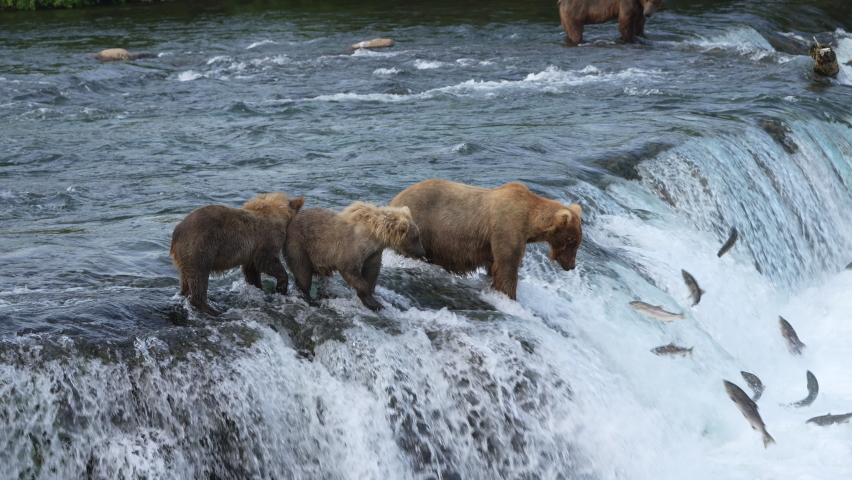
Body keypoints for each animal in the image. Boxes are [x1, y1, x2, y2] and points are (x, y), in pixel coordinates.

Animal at [170, 192, 305, 315]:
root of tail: (176, 233)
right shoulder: (267, 238)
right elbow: (265, 260)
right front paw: (281, 286)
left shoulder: (251, 251)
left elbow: (251, 270)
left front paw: (258, 287)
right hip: (200, 246)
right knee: (199, 277)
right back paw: (212, 309)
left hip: (185, 256)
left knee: (186, 279)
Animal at [284, 202, 426, 311]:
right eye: (416, 236)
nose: (422, 252)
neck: (374, 237)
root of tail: (292, 220)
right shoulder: (353, 247)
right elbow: (349, 269)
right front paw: (375, 303)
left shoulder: (373, 253)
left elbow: (372, 271)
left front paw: (372, 294)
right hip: (301, 245)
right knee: (303, 273)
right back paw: (309, 298)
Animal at [389, 179, 582, 300]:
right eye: (571, 240)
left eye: (577, 242)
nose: (571, 265)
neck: (528, 221)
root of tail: (393, 201)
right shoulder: (506, 228)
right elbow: (507, 267)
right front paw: (509, 295)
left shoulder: (492, 243)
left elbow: (494, 265)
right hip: (419, 228)